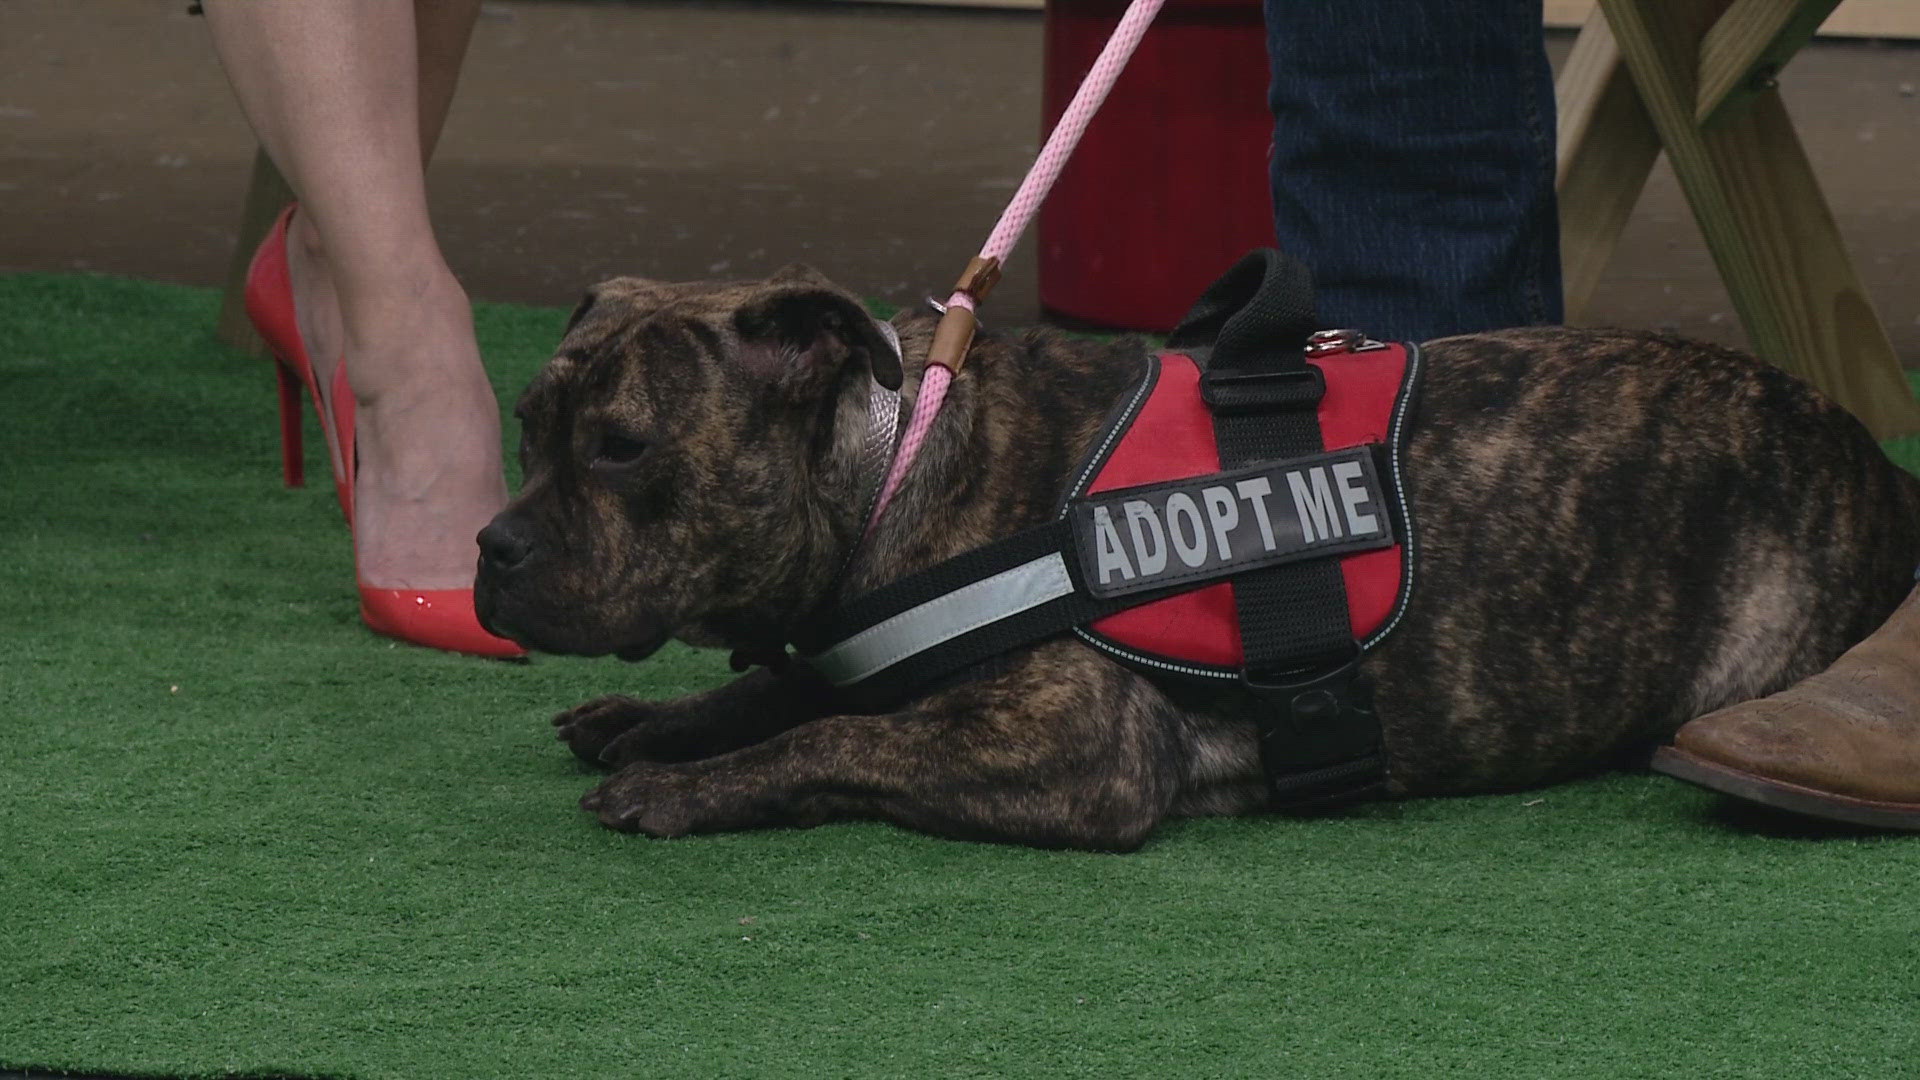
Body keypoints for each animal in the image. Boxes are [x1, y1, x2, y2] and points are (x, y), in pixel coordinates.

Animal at [476, 265, 1920, 845]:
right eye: (529, 429)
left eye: (619, 449)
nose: (490, 546)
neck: (893, 460)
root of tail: (1868, 458)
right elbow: (792, 689)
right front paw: (661, 721)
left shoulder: (1077, 749)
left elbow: (833, 737)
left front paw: (684, 786)